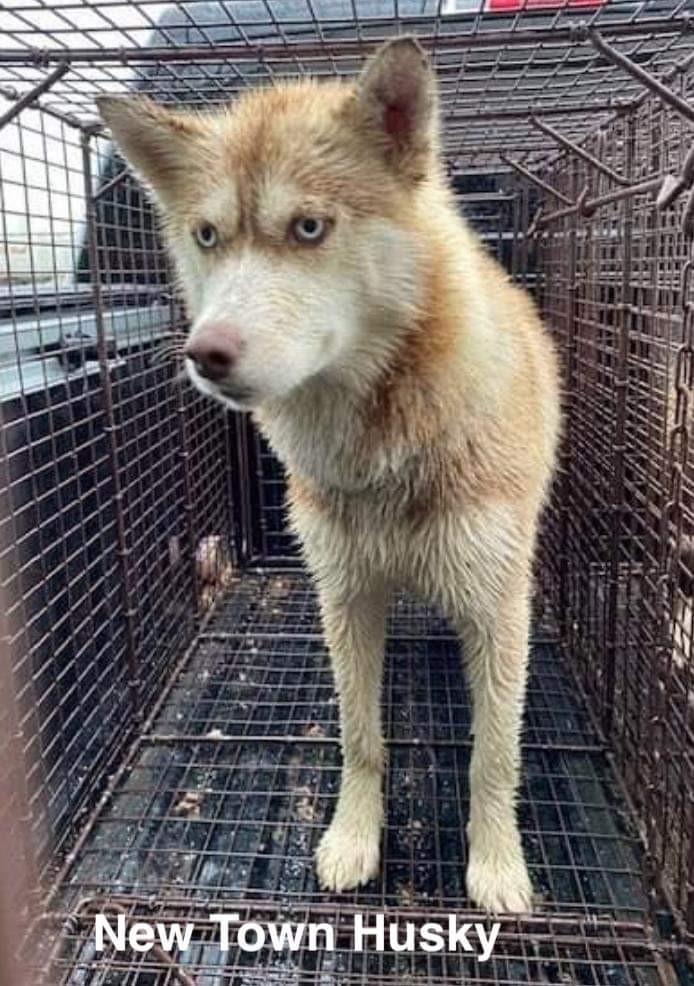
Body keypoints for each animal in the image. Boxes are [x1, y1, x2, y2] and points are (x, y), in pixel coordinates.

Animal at [100, 38, 564, 916]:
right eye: (207, 236)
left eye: (308, 227)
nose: (203, 354)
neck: (384, 449)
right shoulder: (345, 598)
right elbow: (361, 739)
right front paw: (354, 836)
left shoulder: (497, 609)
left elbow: (493, 756)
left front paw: (497, 864)